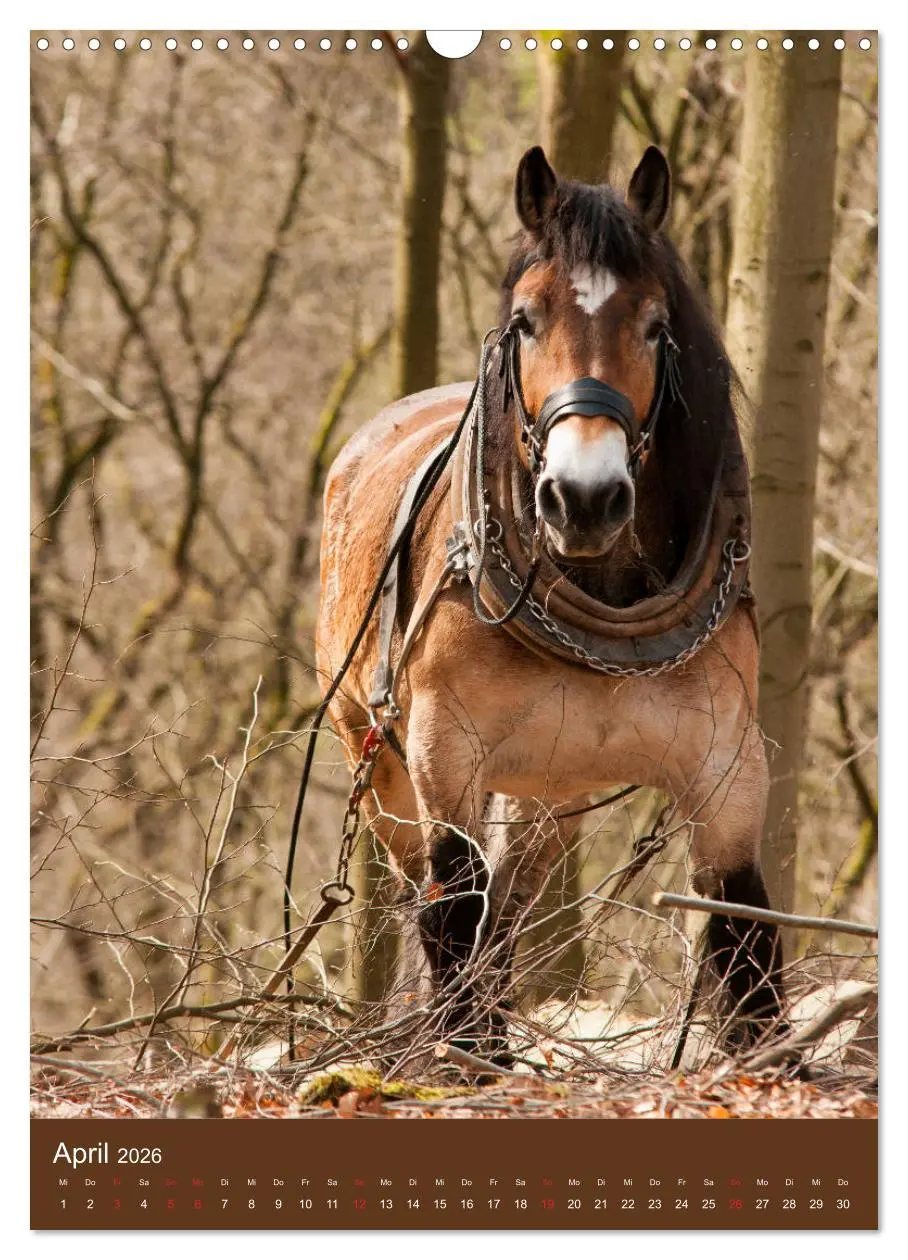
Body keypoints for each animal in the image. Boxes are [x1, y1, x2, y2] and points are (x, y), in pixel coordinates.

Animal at [315, 144, 787, 1068]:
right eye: (527, 320)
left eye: (654, 325)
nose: (585, 498)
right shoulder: (443, 752)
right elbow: (453, 908)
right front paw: (466, 1060)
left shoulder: (728, 762)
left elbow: (742, 925)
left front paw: (771, 1061)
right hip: (377, 758)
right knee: (430, 899)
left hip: (545, 789)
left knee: (509, 905)